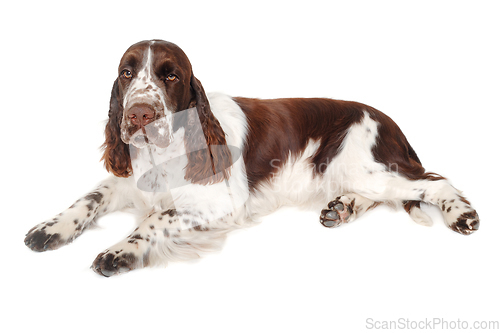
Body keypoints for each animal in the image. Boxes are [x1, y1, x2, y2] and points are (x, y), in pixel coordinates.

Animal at [25, 40, 478, 276]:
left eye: (170, 74)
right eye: (127, 73)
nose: (138, 115)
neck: (165, 149)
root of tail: (390, 121)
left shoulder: (219, 203)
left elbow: (155, 219)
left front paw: (120, 251)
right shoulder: (127, 180)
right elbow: (89, 198)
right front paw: (50, 229)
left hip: (365, 164)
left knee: (432, 182)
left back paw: (461, 215)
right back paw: (342, 208)